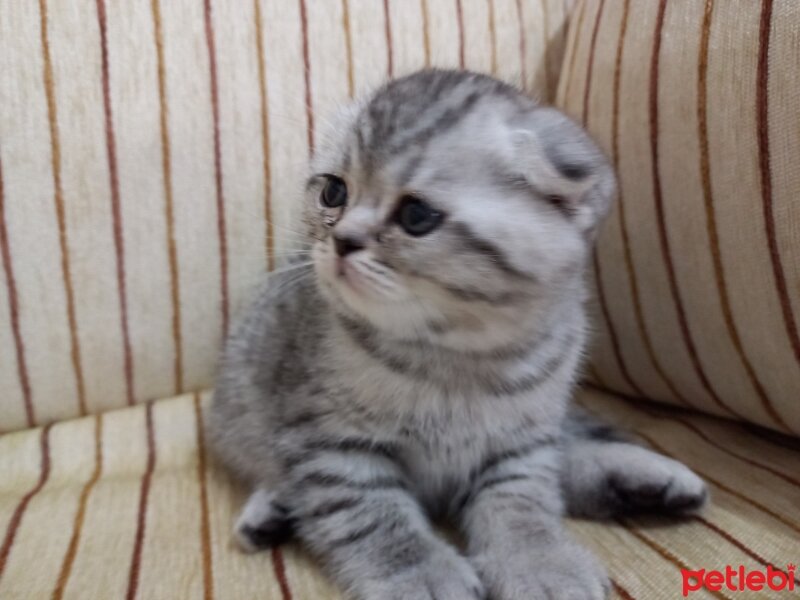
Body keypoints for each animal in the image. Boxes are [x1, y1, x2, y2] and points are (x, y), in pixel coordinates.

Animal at [208, 71, 708, 600]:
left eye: (416, 216)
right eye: (333, 193)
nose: (341, 241)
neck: (458, 355)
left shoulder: (522, 443)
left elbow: (523, 501)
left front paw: (540, 561)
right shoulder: (328, 445)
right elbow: (374, 516)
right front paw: (421, 574)